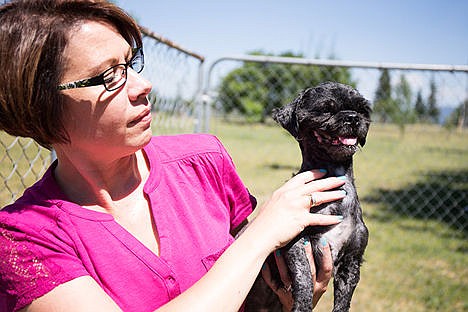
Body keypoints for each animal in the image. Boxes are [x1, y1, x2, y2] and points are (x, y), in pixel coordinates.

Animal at [245, 81, 372, 310]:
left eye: (361, 109)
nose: (352, 117)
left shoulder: (352, 260)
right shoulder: (296, 243)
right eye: (327, 109)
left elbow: (344, 300)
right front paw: (302, 305)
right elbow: (303, 276)